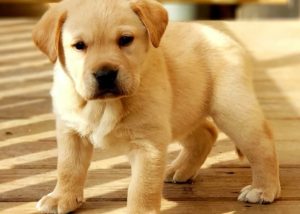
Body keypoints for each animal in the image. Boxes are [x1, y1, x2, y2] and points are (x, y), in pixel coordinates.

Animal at [32, 0, 282, 213]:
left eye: (125, 40)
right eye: (79, 46)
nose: (105, 74)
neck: (106, 105)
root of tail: (223, 37)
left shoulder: (148, 144)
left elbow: (141, 188)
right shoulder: (70, 131)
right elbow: (68, 168)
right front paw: (61, 198)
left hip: (233, 110)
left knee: (263, 145)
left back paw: (263, 189)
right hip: (182, 111)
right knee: (206, 133)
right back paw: (180, 169)